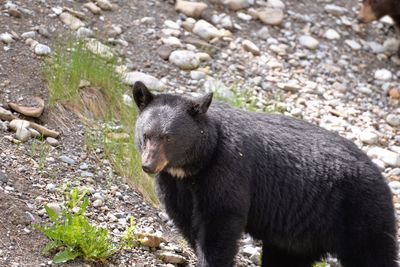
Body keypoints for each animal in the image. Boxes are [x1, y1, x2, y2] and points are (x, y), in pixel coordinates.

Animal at [133, 82, 398, 267]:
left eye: (168, 137)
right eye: (146, 135)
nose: (148, 165)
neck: (194, 165)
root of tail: (381, 178)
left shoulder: (227, 171)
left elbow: (219, 223)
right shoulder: (174, 185)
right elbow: (186, 221)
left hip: (360, 212)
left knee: (372, 253)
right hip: (301, 234)